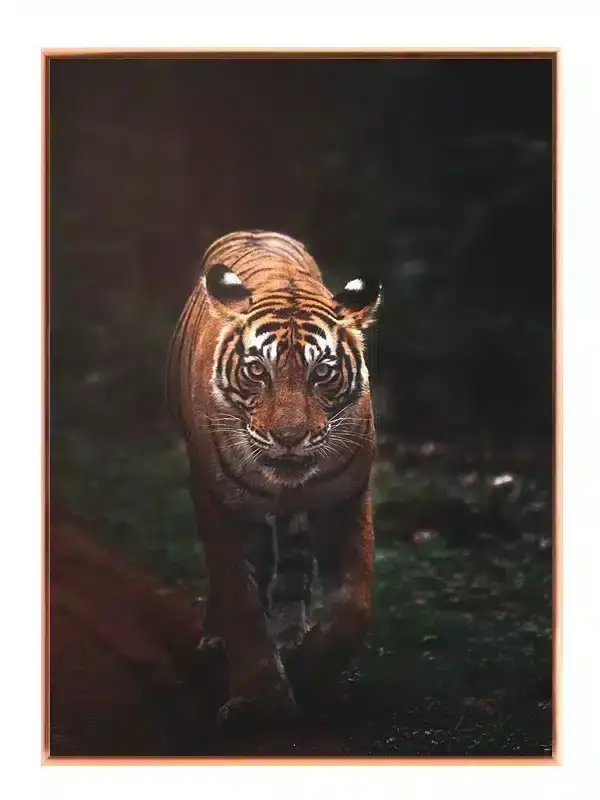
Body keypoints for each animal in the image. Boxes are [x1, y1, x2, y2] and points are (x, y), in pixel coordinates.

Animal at [166, 230, 381, 725]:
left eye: (322, 372)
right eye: (256, 370)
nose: (289, 437)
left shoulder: (346, 496)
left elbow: (353, 605)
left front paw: (310, 672)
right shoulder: (220, 500)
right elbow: (241, 597)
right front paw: (260, 701)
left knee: (293, 563)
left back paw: (289, 637)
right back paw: (220, 639)